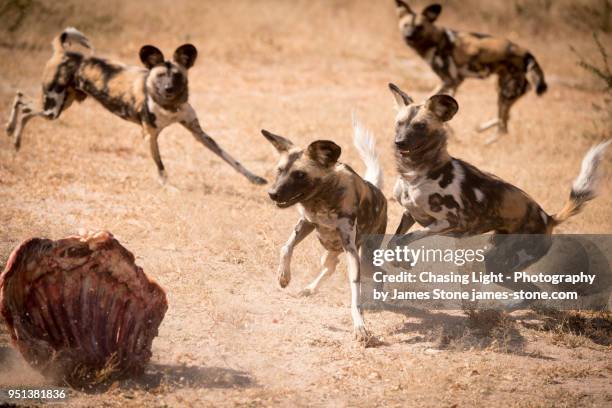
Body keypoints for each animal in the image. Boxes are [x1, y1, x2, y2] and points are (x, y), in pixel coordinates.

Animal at [4, 28, 268, 186]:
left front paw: (255, 178)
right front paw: (168, 188)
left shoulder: (199, 133)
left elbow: (231, 159)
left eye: (177, 76)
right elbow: (161, 166)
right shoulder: (149, 136)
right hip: (53, 108)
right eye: (160, 76)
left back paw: (15, 141)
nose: (169, 89)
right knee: (22, 103)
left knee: (23, 103)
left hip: (60, 106)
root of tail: (63, 53)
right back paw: (10, 132)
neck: (169, 106)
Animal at [262, 118, 388, 342]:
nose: (272, 193)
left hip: (365, 259)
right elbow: (286, 247)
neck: (324, 197)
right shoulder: (306, 223)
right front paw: (283, 276)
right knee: (330, 266)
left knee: (379, 272)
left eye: (300, 174)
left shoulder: (350, 248)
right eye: (279, 170)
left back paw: (376, 301)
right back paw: (310, 289)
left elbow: (355, 295)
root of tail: (377, 189)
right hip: (331, 250)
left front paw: (360, 326)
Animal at [390, 83, 608, 300]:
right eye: (399, 123)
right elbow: (394, 241)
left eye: (420, 126)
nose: (399, 142)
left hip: (504, 261)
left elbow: (404, 239)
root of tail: (548, 217)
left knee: (533, 291)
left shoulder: (450, 222)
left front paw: (403, 259)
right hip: (495, 262)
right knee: (531, 291)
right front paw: (399, 260)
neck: (416, 173)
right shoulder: (409, 213)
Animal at [394, 1, 548, 143]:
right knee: (504, 121)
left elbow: (428, 99)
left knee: (503, 128)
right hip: (503, 91)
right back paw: (481, 129)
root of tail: (527, 54)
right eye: (406, 25)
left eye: (419, 27)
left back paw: (485, 142)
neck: (436, 41)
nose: (408, 36)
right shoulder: (454, 83)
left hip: (505, 92)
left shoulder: (451, 80)